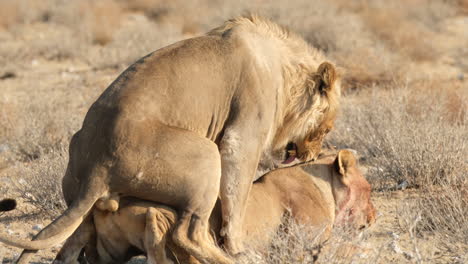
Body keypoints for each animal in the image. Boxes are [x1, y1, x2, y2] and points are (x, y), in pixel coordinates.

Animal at [0, 14, 340, 264]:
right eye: (327, 128)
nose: (312, 155)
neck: (284, 69)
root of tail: (98, 164)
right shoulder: (241, 138)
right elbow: (236, 201)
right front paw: (238, 247)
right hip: (206, 155)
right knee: (187, 234)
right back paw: (237, 259)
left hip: (78, 191)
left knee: (67, 246)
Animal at [54, 150, 376, 262]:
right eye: (370, 190)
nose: (375, 217)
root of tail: (108, 203)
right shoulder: (308, 241)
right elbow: (346, 248)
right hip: (167, 214)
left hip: (108, 251)